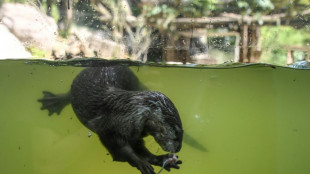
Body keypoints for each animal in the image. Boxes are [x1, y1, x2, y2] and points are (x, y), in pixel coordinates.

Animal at [38, 66, 184, 173]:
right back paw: (53, 101)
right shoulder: (108, 130)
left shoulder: (134, 134)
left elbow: (141, 149)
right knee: (68, 95)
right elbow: (121, 152)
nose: (178, 149)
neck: (124, 112)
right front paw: (141, 163)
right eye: (177, 132)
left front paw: (162, 159)